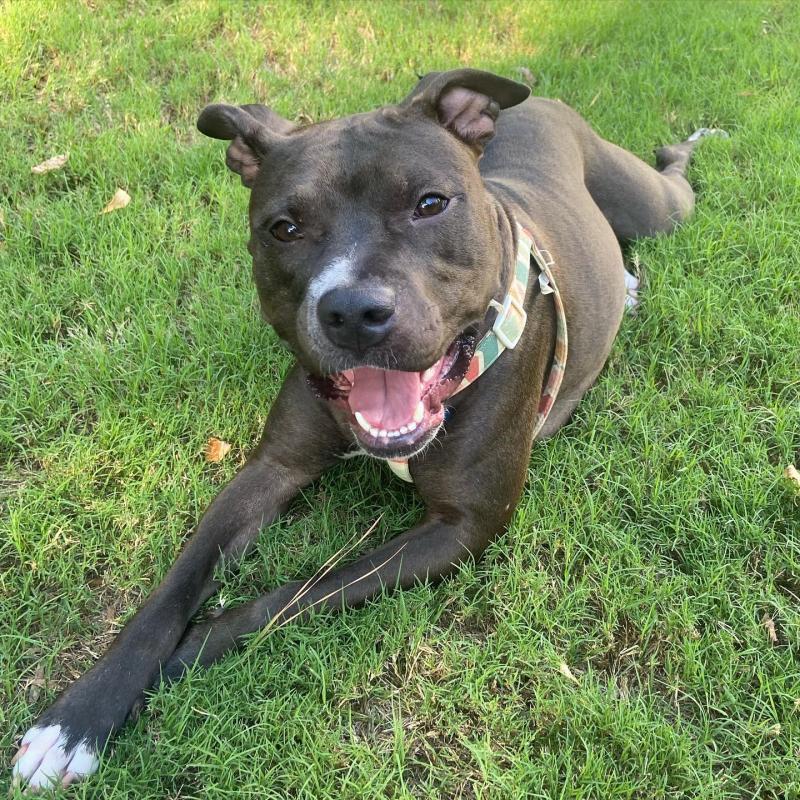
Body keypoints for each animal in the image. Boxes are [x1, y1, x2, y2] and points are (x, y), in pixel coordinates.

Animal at [10, 67, 720, 788]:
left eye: (431, 204)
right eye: (284, 227)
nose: (352, 310)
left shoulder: (462, 527)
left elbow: (290, 597)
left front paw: (183, 656)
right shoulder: (273, 467)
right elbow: (171, 591)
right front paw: (78, 718)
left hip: (655, 206)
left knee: (673, 178)